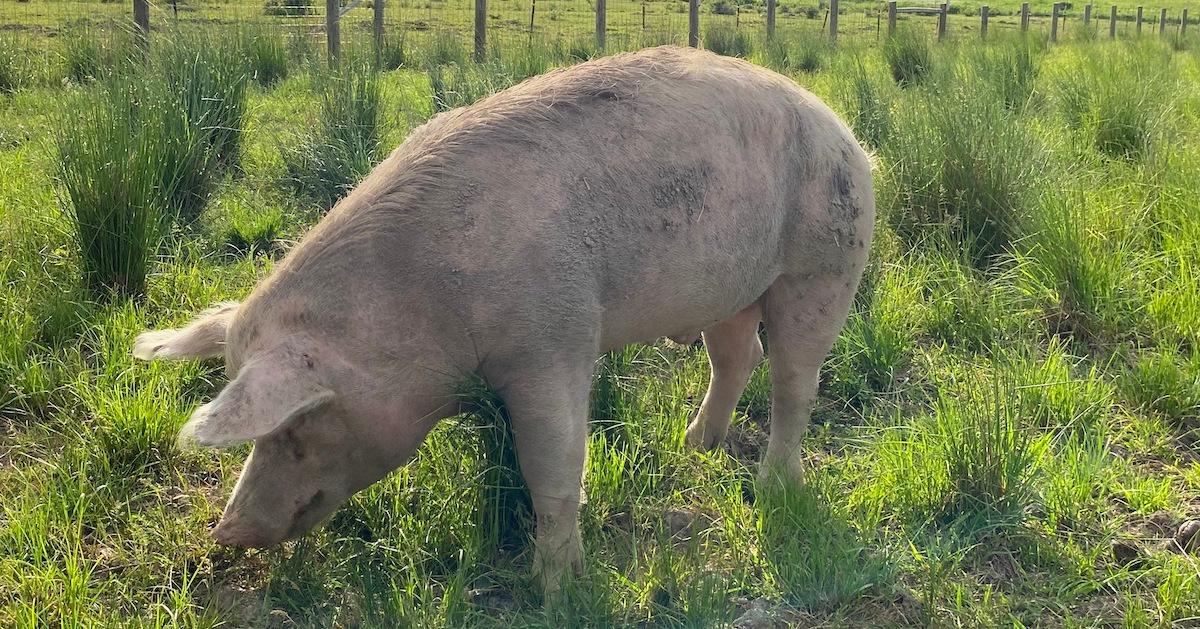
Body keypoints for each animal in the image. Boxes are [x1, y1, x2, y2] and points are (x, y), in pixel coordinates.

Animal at [136, 46, 878, 597]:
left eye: (294, 429)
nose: (227, 532)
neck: (419, 305)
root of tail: (847, 131)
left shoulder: (554, 341)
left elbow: (553, 465)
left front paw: (557, 591)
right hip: (731, 289)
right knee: (735, 357)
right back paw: (695, 445)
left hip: (825, 262)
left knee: (794, 379)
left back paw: (772, 485)